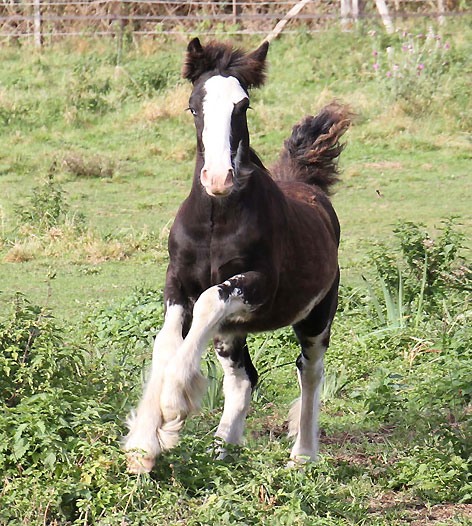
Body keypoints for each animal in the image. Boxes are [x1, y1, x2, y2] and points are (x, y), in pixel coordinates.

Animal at [123, 37, 352, 474]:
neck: (216, 219)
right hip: (231, 333)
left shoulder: (258, 284)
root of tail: (309, 186)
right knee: (244, 378)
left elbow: (211, 300)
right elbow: (166, 341)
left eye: (243, 105)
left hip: (316, 317)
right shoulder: (177, 283)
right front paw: (145, 443)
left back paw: (302, 456)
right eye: (193, 106)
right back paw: (222, 449)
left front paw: (173, 407)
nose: (218, 178)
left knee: (310, 372)